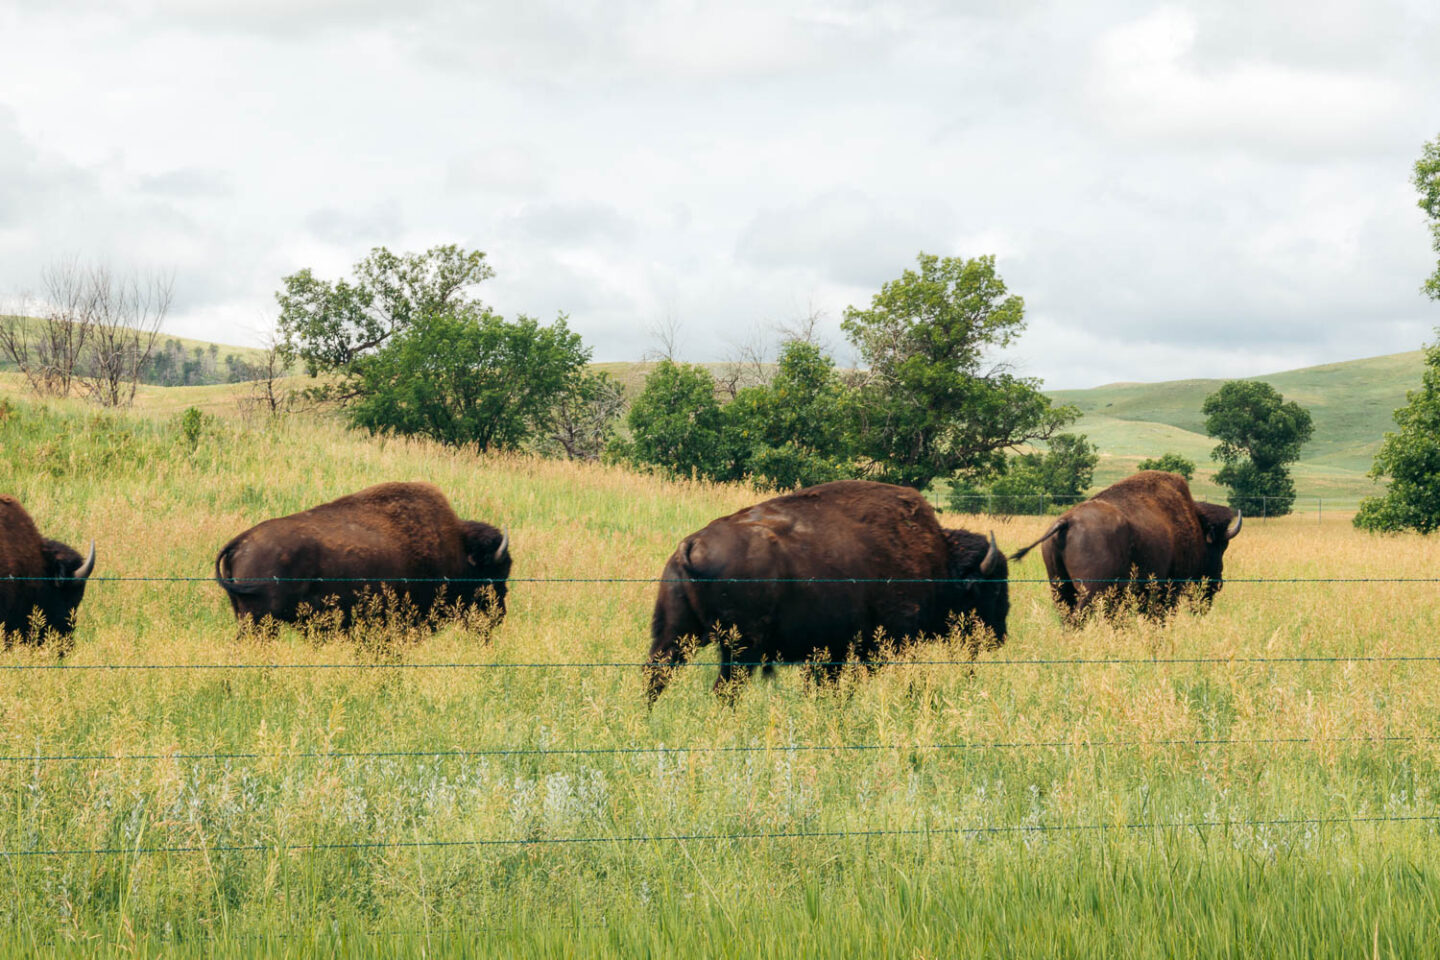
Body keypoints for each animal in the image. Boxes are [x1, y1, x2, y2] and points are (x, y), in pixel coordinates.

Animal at [648, 477, 1008, 699]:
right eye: (992, 589)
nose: (999, 636)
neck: (940, 562)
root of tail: (692, 544)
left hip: (674, 635)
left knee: (656, 677)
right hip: (740, 650)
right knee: (723, 690)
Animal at [1013, 472, 1238, 624]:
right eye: (1221, 546)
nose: (1218, 583)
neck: (1196, 525)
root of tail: (1067, 521)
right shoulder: (1170, 589)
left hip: (1059, 587)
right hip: (1090, 591)